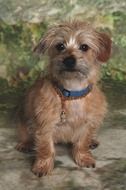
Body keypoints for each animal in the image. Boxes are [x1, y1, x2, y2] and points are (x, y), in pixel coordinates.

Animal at [15, 19, 111, 177]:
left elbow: (82, 142)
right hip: (23, 118)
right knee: (25, 133)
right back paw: (26, 143)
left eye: (84, 47)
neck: (72, 93)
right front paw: (43, 165)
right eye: (60, 46)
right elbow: (45, 147)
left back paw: (93, 141)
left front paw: (84, 157)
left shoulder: (88, 123)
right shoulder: (45, 125)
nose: (69, 60)